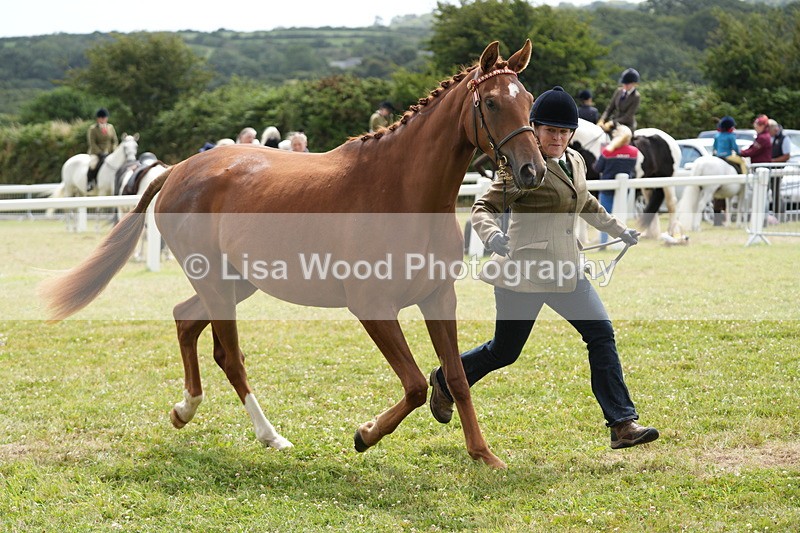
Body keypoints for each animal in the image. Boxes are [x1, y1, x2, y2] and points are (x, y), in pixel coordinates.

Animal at [40, 41, 545, 469]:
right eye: (492, 103)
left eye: (528, 98)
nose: (532, 170)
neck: (402, 191)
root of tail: (177, 170)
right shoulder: (373, 308)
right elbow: (417, 384)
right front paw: (364, 434)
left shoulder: (439, 297)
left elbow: (455, 376)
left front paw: (484, 455)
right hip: (217, 284)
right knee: (230, 355)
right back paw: (270, 436)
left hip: (236, 282)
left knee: (185, 319)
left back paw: (185, 409)